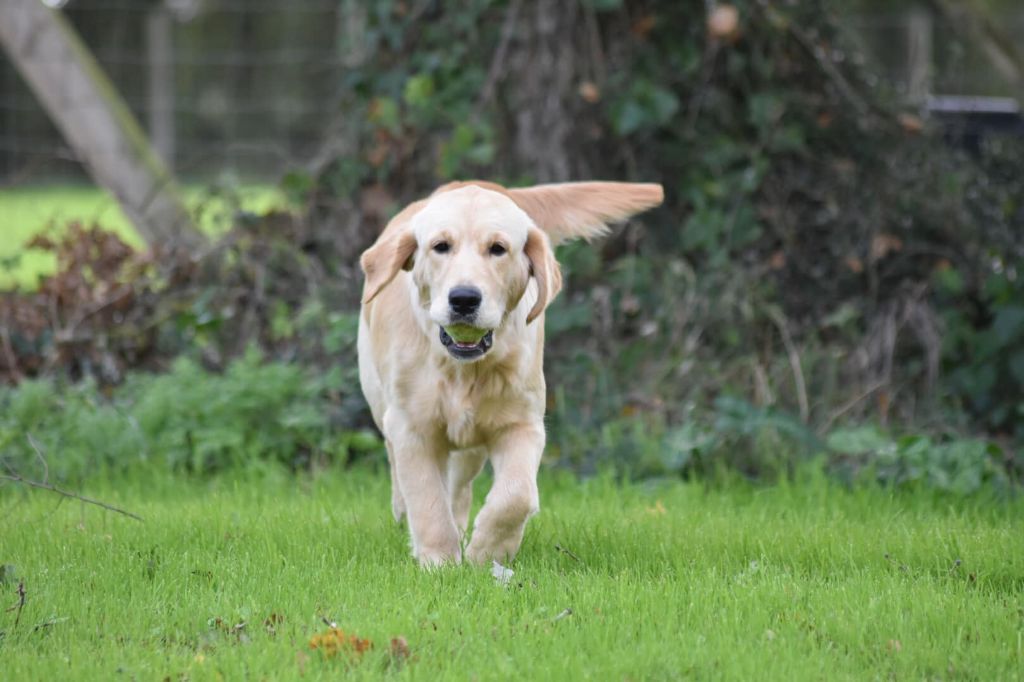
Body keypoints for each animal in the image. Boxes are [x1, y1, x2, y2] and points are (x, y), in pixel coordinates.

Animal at [360, 179, 663, 561]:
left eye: (498, 249)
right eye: (440, 246)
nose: (464, 299)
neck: (463, 368)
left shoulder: (522, 423)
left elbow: (516, 496)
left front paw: (485, 552)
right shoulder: (410, 426)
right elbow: (427, 499)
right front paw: (439, 561)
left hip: (470, 443)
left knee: (459, 485)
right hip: (380, 402)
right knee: (402, 474)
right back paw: (407, 517)